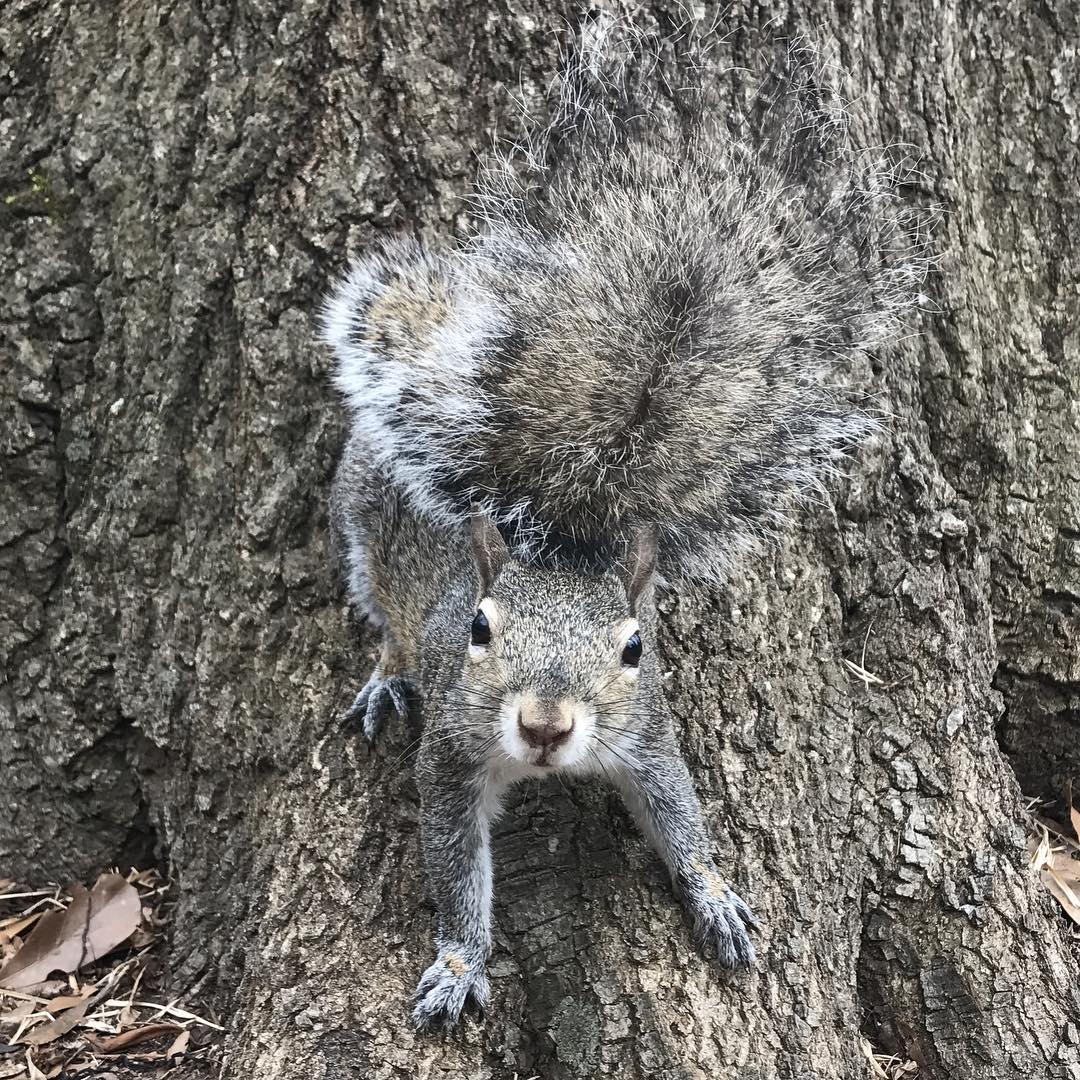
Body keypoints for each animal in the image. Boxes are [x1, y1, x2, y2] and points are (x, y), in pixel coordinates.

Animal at [319, 16, 928, 1028]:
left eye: (634, 646)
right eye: (479, 631)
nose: (545, 725)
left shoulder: (645, 732)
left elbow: (679, 811)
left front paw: (713, 892)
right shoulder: (451, 753)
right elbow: (453, 865)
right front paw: (459, 961)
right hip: (365, 525)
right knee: (384, 620)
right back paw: (383, 679)